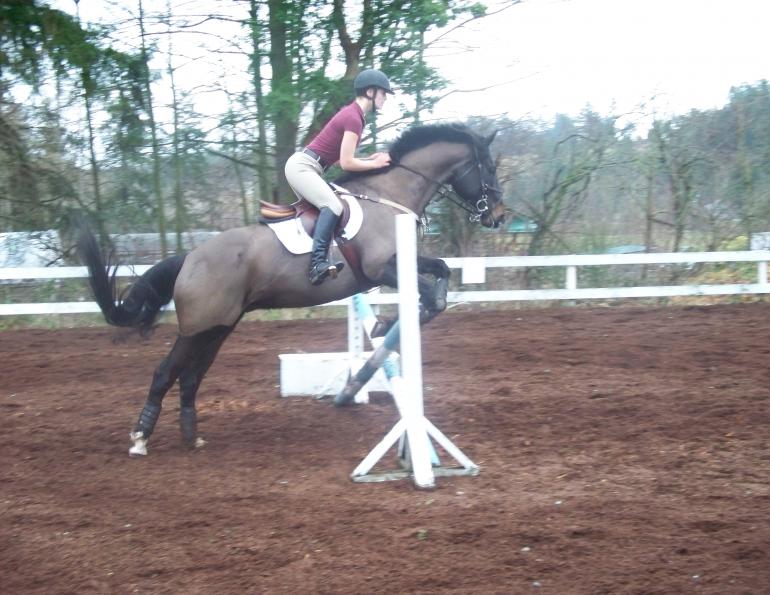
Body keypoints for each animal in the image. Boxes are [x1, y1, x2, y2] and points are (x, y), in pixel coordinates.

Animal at [79, 123, 506, 454]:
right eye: (488, 166)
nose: (499, 216)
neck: (390, 196)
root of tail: (189, 258)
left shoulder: (396, 265)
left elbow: (441, 274)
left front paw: (387, 328)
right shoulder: (381, 268)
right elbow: (430, 293)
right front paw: (387, 326)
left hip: (219, 328)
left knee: (191, 377)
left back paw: (191, 437)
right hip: (198, 328)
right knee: (165, 373)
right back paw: (140, 438)